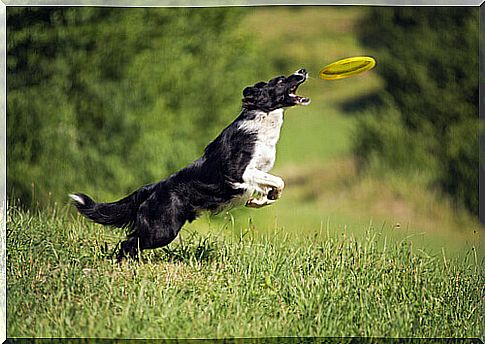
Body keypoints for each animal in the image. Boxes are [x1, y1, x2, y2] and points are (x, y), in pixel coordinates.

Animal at [69, 68, 308, 260]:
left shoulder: (259, 170)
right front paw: (263, 198)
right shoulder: (239, 171)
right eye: (280, 80)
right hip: (163, 230)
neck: (263, 117)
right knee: (129, 243)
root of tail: (153, 188)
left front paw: (259, 201)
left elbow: (272, 186)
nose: (303, 70)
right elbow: (278, 180)